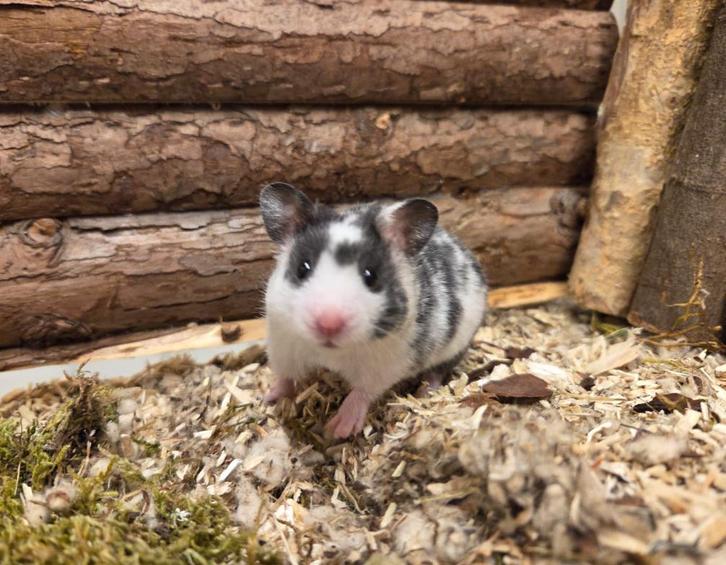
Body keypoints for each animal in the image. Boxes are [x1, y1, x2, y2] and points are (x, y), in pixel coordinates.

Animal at [260, 182, 487, 438]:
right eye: (302, 268)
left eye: (371, 275)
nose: (328, 324)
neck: (331, 352)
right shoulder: (283, 344)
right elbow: (286, 376)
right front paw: (268, 399)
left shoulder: (385, 364)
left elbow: (361, 393)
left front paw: (338, 429)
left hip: (455, 345)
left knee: (438, 372)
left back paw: (424, 392)